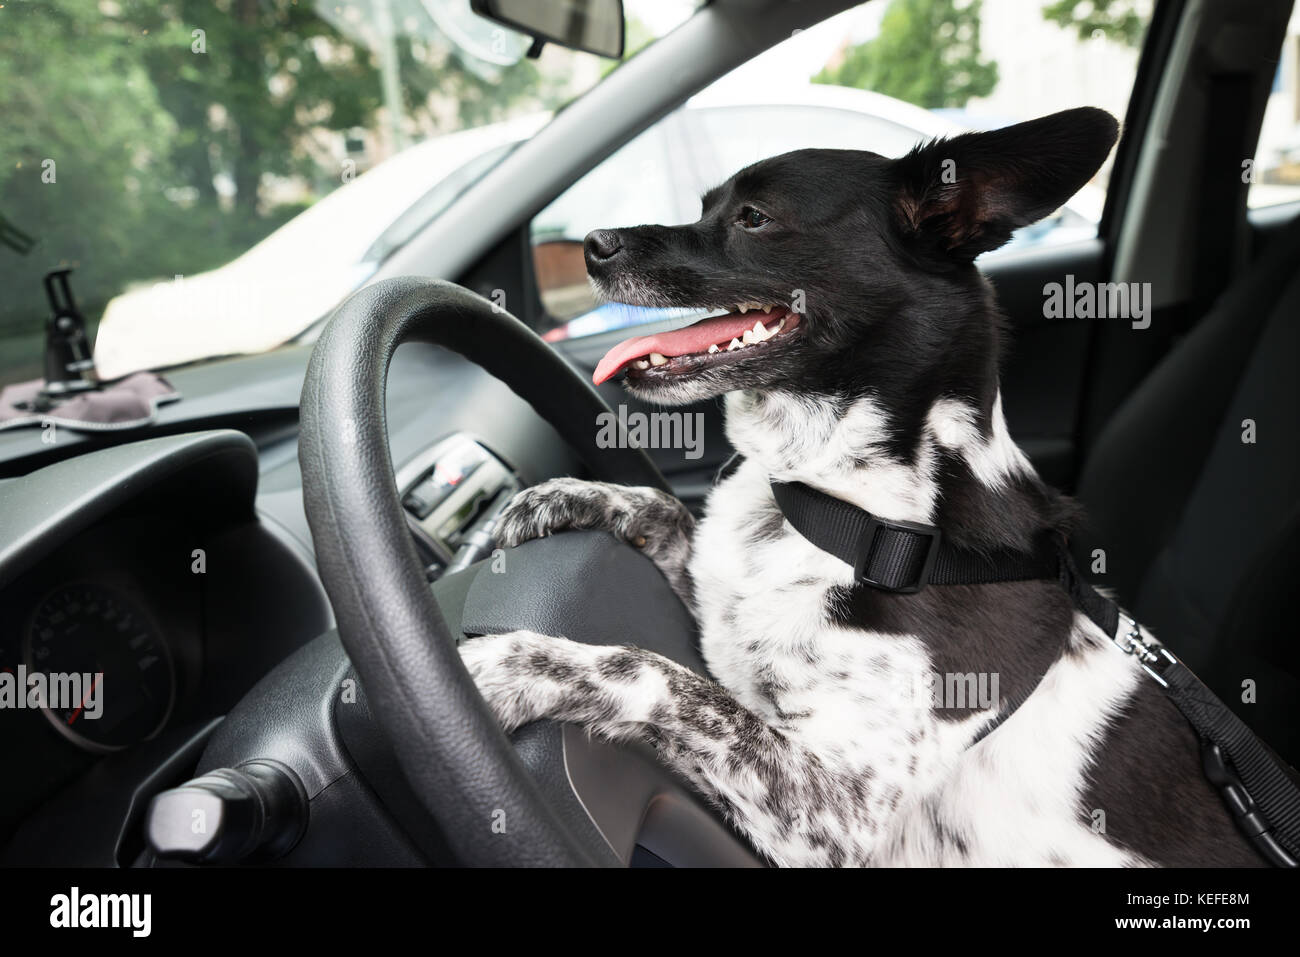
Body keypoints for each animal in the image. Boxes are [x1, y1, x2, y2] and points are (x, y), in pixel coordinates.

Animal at [457, 110, 1258, 868]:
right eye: (709, 204)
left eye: (754, 218)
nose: (591, 244)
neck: (848, 504)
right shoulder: (725, 606)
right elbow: (672, 519)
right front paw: (559, 498)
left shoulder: (834, 807)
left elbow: (650, 671)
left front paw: (506, 665)